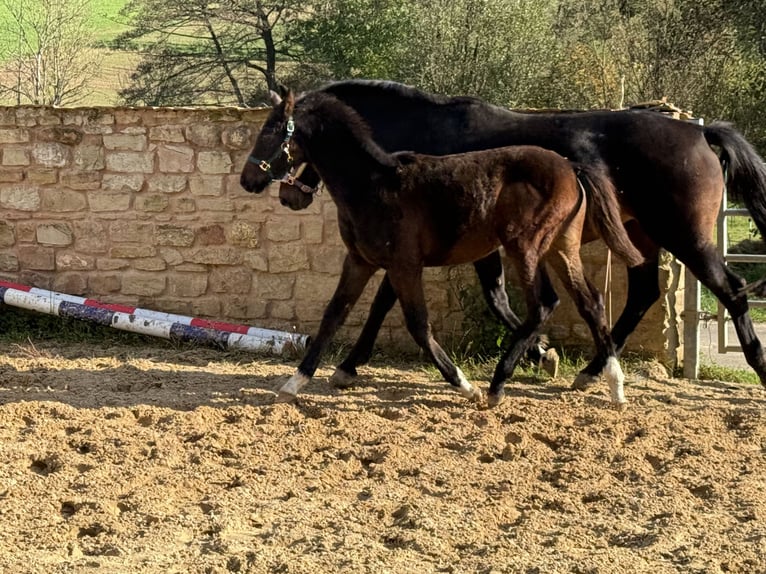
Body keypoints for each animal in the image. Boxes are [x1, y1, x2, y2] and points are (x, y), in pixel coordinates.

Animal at [243, 79, 766, 392]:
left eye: (274, 131)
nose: (257, 183)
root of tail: (699, 134)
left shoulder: (423, 249)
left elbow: (388, 305)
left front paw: (349, 365)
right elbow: (496, 301)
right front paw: (541, 353)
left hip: (685, 236)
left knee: (733, 290)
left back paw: (757, 365)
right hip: (642, 236)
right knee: (639, 295)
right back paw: (591, 371)